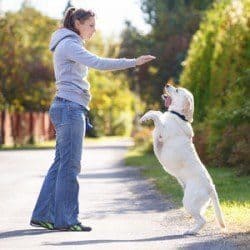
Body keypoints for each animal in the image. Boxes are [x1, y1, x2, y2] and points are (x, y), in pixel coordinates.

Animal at [140, 83, 226, 234]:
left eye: (177, 90)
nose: (167, 84)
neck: (178, 115)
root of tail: (211, 187)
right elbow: (158, 113)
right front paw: (147, 115)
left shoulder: (162, 133)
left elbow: (156, 115)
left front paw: (147, 116)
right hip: (196, 204)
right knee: (201, 219)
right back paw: (193, 230)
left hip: (189, 202)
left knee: (202, 220)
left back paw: (191, 231)